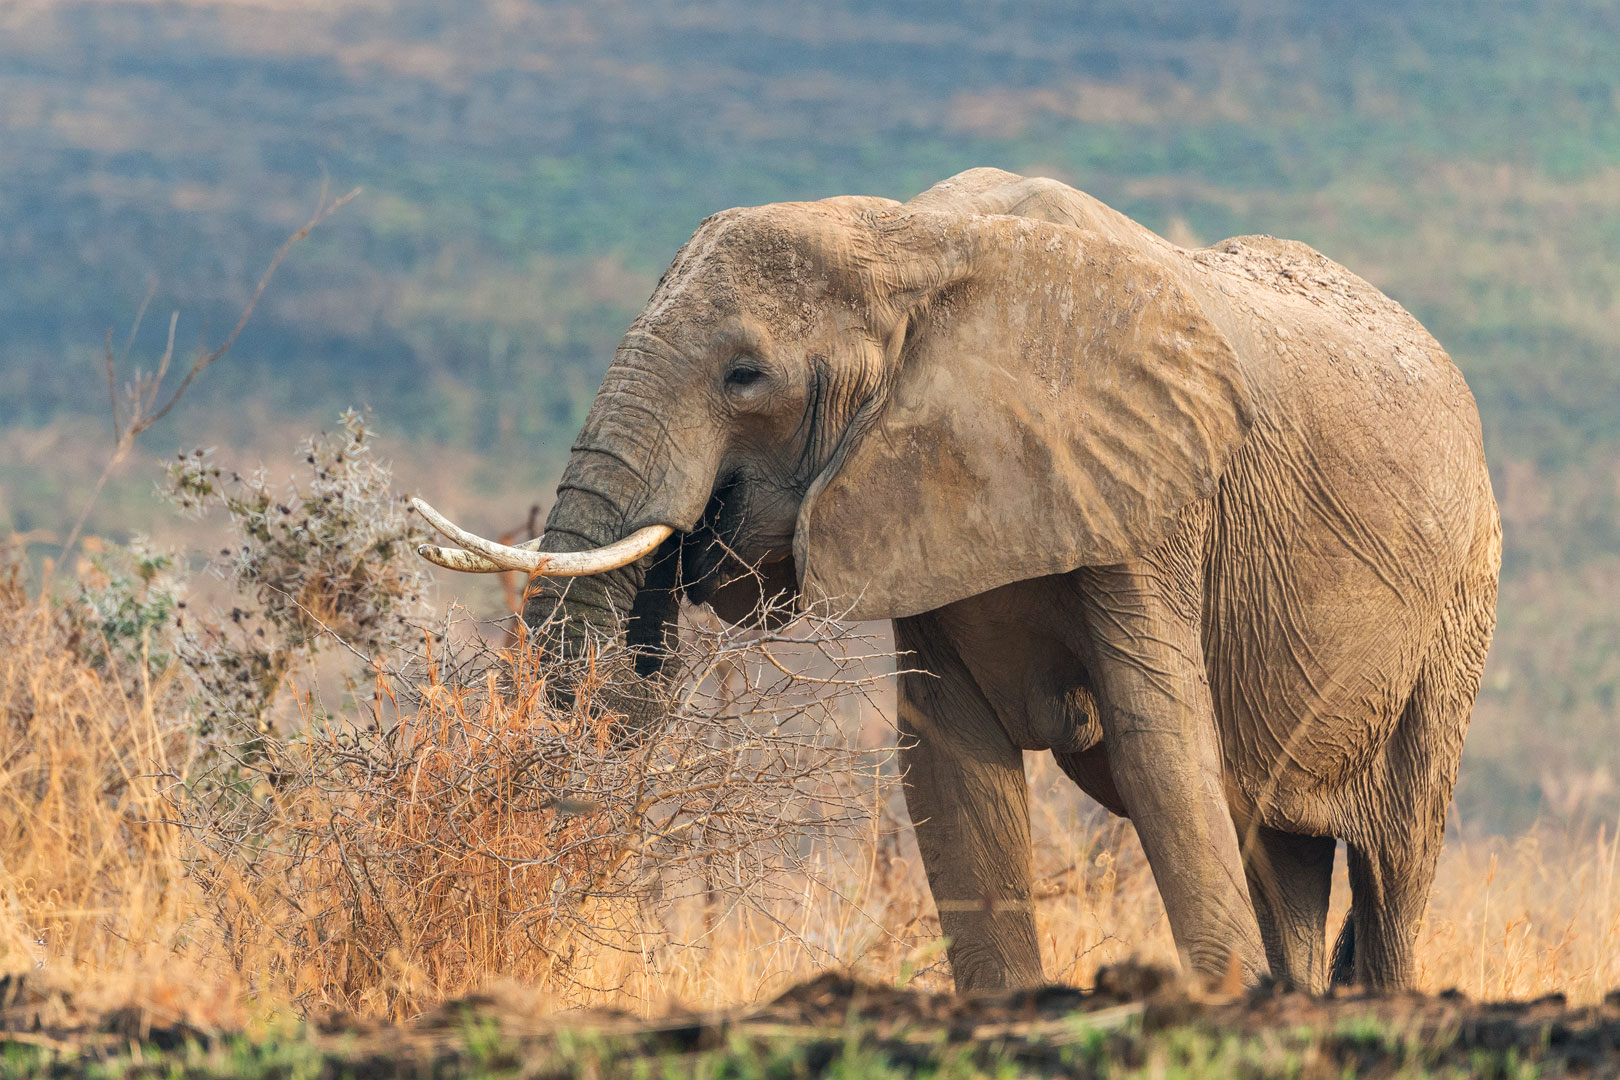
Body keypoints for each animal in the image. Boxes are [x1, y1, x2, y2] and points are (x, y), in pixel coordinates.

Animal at [411, 169, 1496, 997]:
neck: (915, 240)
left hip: (1460, 611)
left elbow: (1158, 748)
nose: (672, 580)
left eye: (744, 377)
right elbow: (947, 767)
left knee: (1396, 860)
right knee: (1283, 854)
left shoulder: (1151, 502)